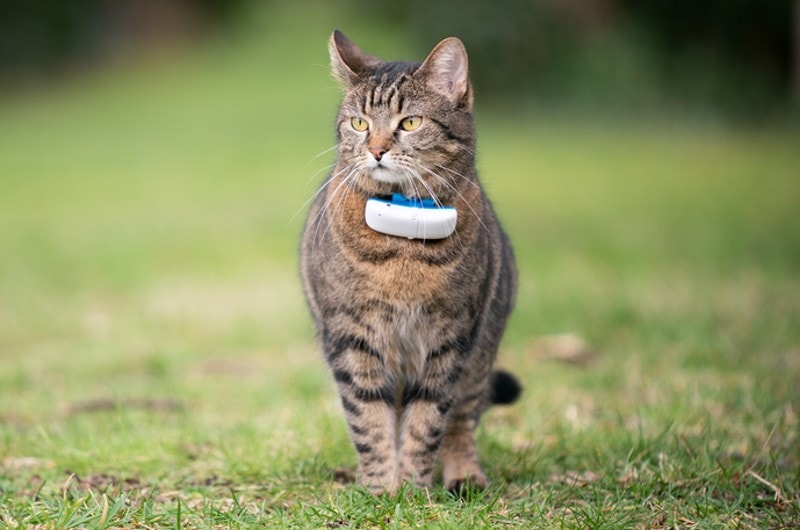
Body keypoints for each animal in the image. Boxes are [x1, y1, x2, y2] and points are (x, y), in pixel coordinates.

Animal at [300, 28, 520, 490]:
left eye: (411, 123)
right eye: (359, 123)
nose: (377, 150)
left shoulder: (450, 339)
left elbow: (427, 421)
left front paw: (414, 489)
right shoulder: (351, 338)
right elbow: (368, 417)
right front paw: (380, 487)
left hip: (481, 354)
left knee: (461, 420)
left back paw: (464, 476)